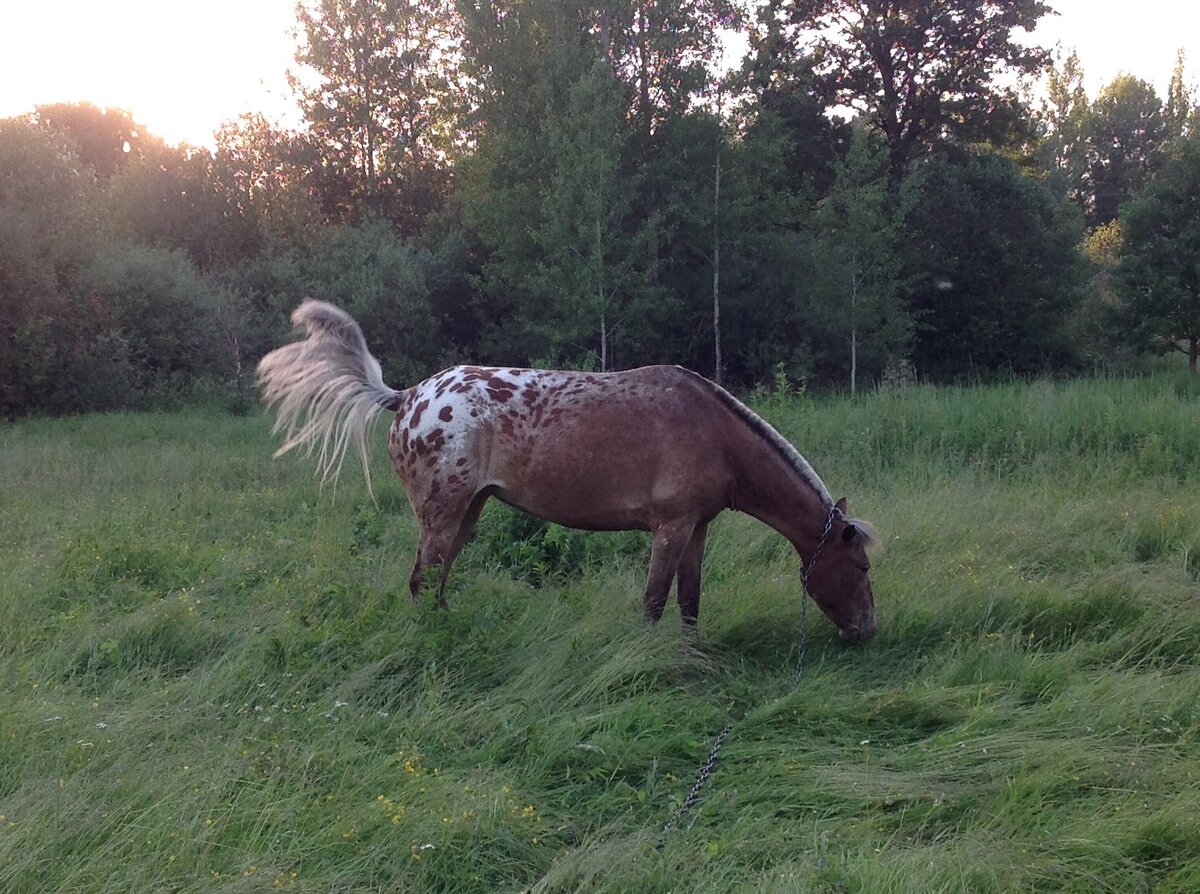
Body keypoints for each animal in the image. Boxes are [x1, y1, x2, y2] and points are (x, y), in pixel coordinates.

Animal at [260, 300, 883, 643]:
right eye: (860, 566)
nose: (866, 632)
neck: (715, 435)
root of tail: (408, 396)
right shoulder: (669, 528)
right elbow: (655, 602)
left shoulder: (698, 528)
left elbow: (689, 602)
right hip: (442, 514)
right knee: (422, 579)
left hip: (469, 511)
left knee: (437, 581)